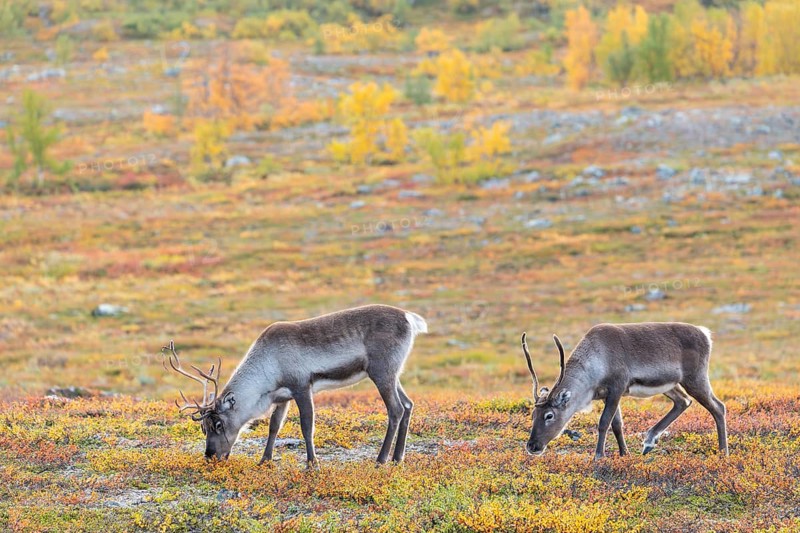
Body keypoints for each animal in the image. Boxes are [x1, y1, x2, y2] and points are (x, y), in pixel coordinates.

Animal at [163, 304, 427, 466]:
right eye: (203, 427)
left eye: (218, 424)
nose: (210, 456)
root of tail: (410, 318)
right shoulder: (282, 397)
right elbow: (273, 427)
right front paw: (264, 460)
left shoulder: (302, 387)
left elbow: (306, 426)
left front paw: (312, 464)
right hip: (392, 374)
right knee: (408, 404)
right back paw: (397, 458)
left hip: (381, 372)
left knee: (396, 409)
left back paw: (381, 459)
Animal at [520, 322, 728, 460]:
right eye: (532, 414)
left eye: (549, 415)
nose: (532, 446)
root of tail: (705, 334)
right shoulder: (607, 395)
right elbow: (617, 424)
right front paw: (624, 453)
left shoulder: (617, 387)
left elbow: (604, 422)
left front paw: (598, 456)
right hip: (671, 384)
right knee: (683, 401)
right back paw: (649, 442)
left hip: (695, 378)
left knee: (718, 407)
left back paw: (723, 452)